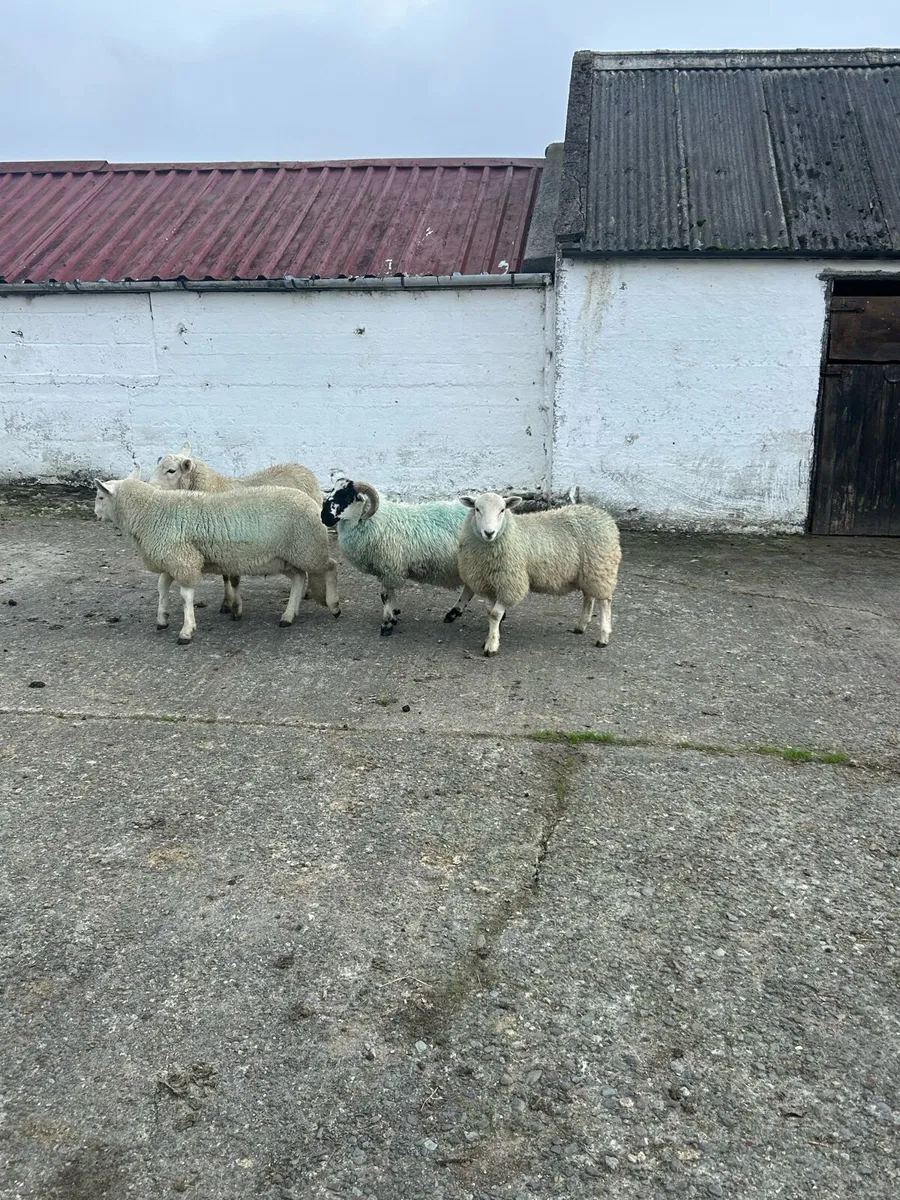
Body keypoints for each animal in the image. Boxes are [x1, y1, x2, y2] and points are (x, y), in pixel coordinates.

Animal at [94, 471, 341, 645]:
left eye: (100, 496)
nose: (96, 515)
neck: (150, 511)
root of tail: (313, 502)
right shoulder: (172, 558)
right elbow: (162, 586)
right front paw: (162, 618)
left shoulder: (184, 560)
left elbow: (185, 596)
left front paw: (186, 631)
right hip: (284, 555)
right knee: (299, 578)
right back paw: (288, 615)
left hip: (307, 548)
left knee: (330, 567)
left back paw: (334, 606)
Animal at [148, 443, 323, 617]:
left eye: (171, 470)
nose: (150, 486)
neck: (214, 488)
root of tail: (303, 468)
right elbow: (225, 577)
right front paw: (226, 603)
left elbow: (234, 579)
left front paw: (236, 608)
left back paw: (306, 592)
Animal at [321, 479, 475, 636]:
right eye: (332, 491)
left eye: (347, 497)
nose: (324, 517)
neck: (377, 521)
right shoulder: (386, 570)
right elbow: (388, 594)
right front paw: (394, 613)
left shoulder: (389, 567)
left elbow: (384, 595)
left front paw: (387, 624)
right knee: (469, 588)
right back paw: (453, 613)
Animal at [457, 491, 621, 656]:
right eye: (477, 509)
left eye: (502, 510)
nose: (489, 533)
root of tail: (604, 516)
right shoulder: (487, 584)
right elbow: (490, 612)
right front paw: (490, 638)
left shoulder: (510, 584)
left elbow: (496, 614)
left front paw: (491, 646)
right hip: (588, 572)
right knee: (589, 596)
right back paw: (581, 626)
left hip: (601, 569)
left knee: (604, 602)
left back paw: (603, 637)